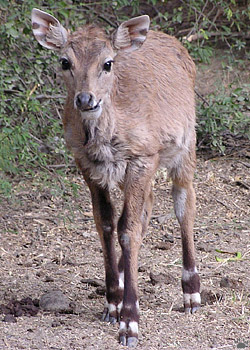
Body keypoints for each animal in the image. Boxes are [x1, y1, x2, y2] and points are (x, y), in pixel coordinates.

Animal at [31, 8, 201, 348]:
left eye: (107, 63)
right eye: (65, 61)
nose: (85, 99)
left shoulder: (143, 157)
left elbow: (129, 231)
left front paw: (130, 322)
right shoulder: (85, 163)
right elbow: (107, 224)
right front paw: (112, 302)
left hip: (185, 144)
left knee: (183, 203)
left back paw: (191, 291)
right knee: (146, 207)